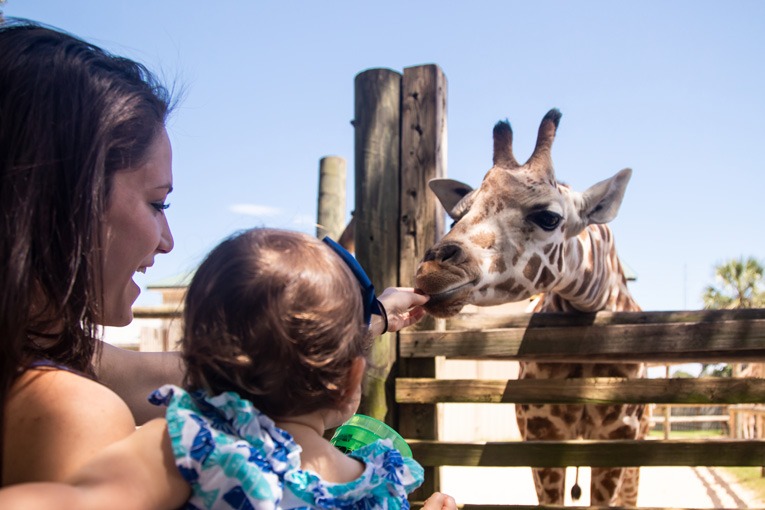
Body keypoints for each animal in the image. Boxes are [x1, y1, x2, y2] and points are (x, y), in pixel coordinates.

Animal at [414, 108, 648, 506]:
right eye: (456, 217)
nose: (432, 273)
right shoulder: (541, 433)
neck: (593, 299)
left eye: (549, 217)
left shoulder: (618, 436)